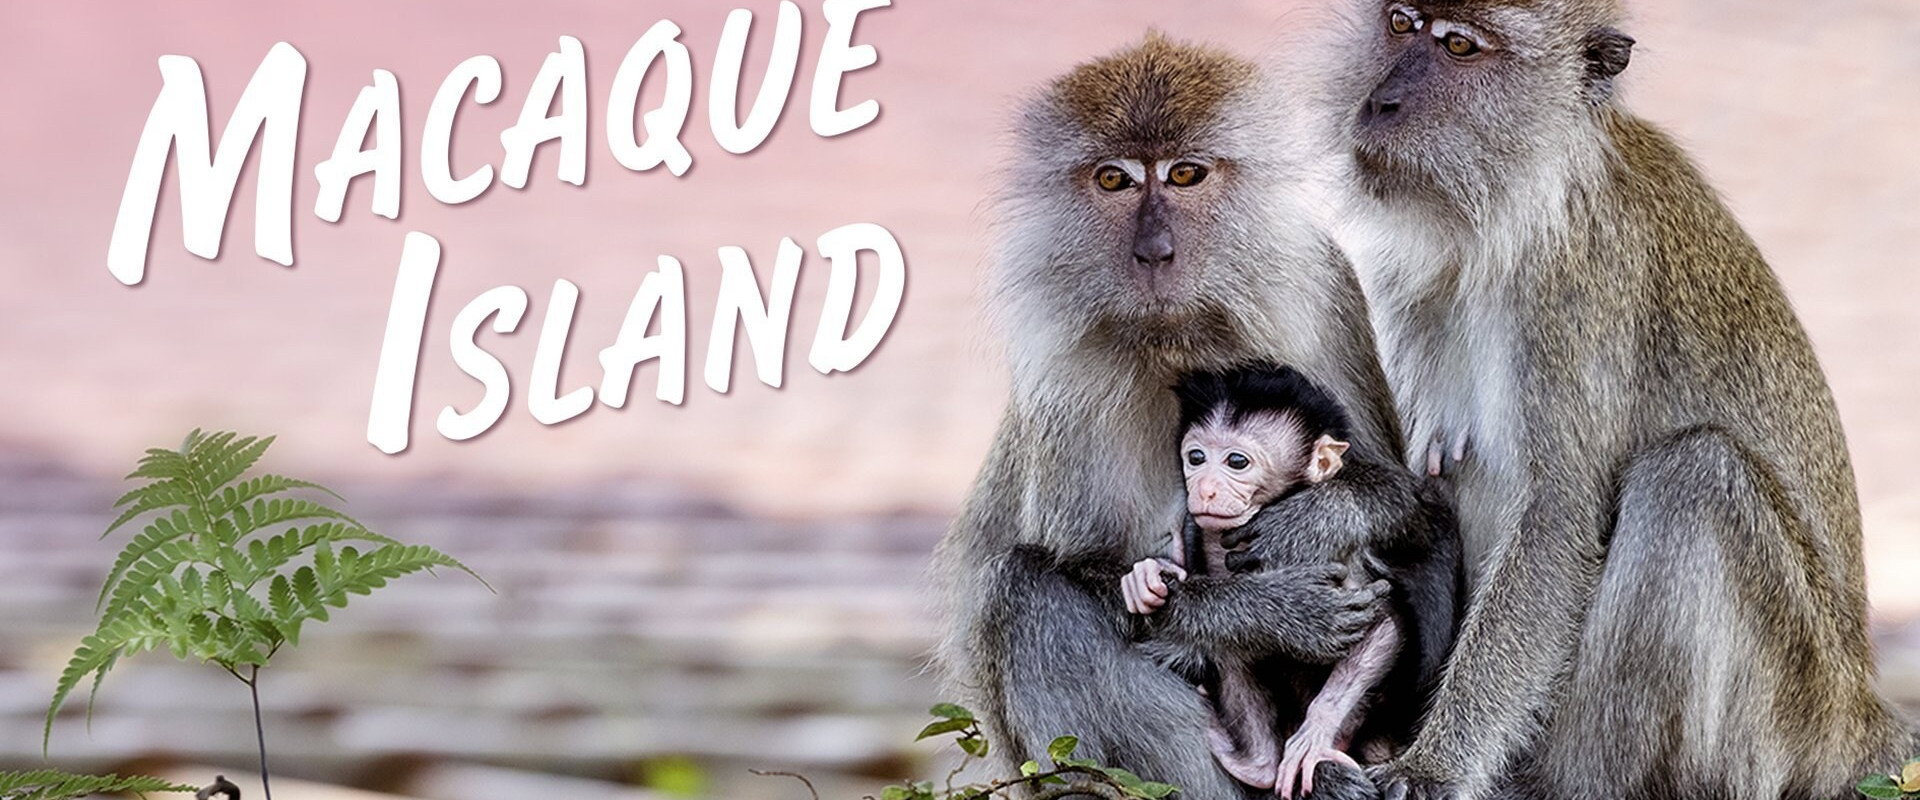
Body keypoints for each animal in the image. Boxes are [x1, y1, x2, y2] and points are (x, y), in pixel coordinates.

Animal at [933, 35, 1423, 800]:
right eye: (1115, 180)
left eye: (1185, 174)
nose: (1154, 253)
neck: (1177, 340)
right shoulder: (1064, 371)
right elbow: (1090, 566)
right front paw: (1272, 613)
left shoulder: (1320, 293)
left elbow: (1398, 500)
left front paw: (1312, 521)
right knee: (1025, 589)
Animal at [1120, 363, 1462, 800]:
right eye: (1196, 457)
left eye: (1236, 462)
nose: (1205, 489)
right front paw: (1147, 580)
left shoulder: (1332, 560)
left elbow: (1381, 626)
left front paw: (1316, 730)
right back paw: (1256, 763)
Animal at [1285, 2, 1916, 798]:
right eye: (1402, 22)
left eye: (1460, 47)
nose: (1383, 103)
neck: (1513, 210)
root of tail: (1864, 715)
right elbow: (1414, 487)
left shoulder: (1574, 286)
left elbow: (1557, 518)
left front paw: (1431, 769)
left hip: (1791, 721)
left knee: (1694, 478)